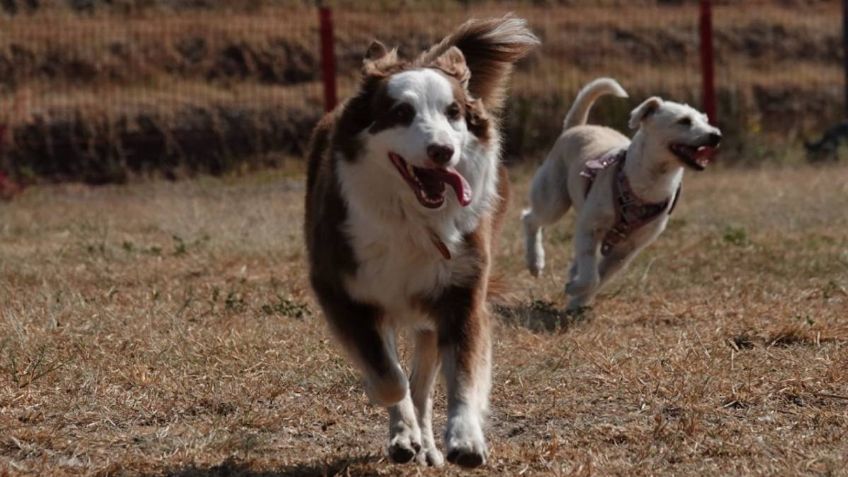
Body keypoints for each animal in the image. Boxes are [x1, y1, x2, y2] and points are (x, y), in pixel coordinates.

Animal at [304, 15, 536, 468]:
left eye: (453, 113)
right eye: (401, 112)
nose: (442, 151)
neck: (411, 218)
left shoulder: (461, 293)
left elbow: (458, 377)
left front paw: (464, 439)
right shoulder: (341, 289)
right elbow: (388, 376)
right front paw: (396, 419)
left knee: (424, 384)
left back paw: (425, 442)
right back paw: (405, 436)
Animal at [524, 77, 724, 308]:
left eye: (705, 120)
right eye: (684, 121)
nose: (716, 135)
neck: (648, 185)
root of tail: (576, 126)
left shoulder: (626, 250)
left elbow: (601, 277)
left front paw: (577, 300)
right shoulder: (590, 227)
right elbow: (591, 275)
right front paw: (574, 289)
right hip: (554, 199)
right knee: (530, 219)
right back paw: (535, 261)